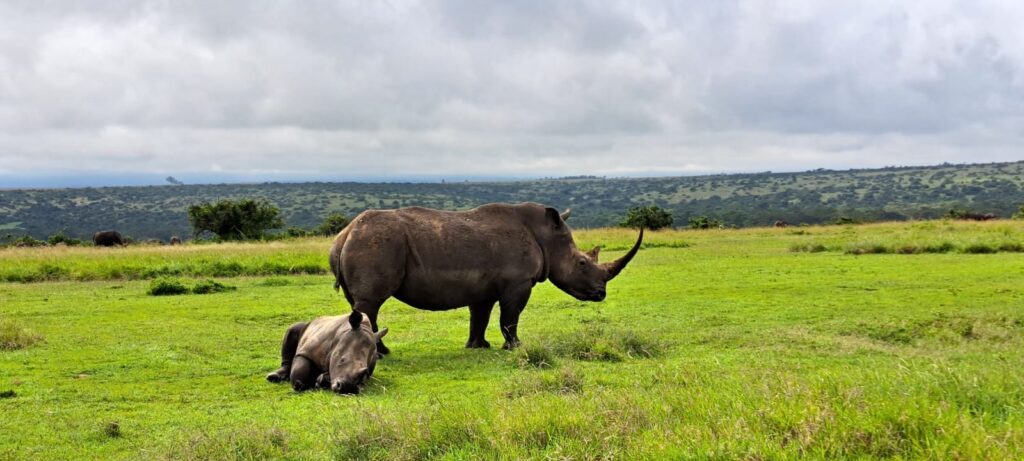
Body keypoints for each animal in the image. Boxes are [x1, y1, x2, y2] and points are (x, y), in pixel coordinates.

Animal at [329, 202, 642, 352]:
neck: (547, 236)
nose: (601, 294)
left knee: (360, 304)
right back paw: (383, 353)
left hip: (362, 242)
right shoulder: (518, 282)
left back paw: (382, 352)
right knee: (370, 303)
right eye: (581, 263)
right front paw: (515, 347)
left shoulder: (482, 286)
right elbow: (510, 317)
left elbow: (480, 316)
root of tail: (346, 233)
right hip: (375, 244)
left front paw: (478, 346)